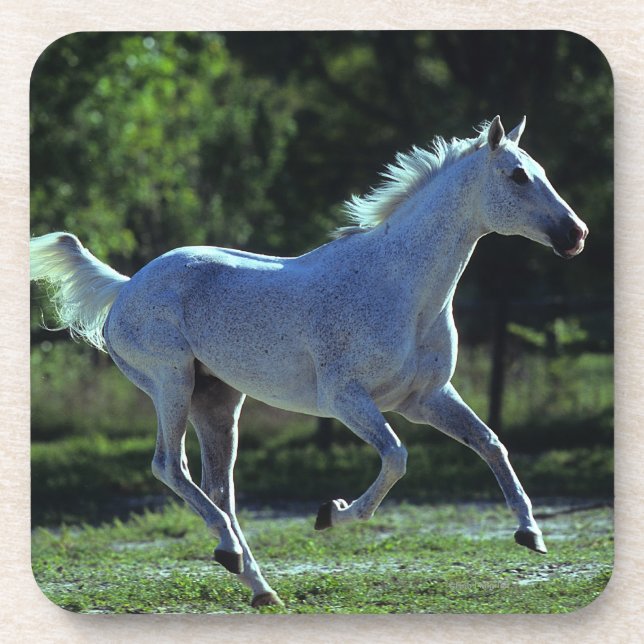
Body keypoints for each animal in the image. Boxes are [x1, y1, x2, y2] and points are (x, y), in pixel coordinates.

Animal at [30, 116, 588, 608]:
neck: (400, 287)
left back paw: (257, 584)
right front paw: (330, 515)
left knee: (219, 488)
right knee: (170, 466)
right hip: (172, 383)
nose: (576, 233)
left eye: (540, 170)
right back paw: (231, 553)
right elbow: (397, 457)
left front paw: (531, 534)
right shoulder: (346, 399)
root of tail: (125, 288)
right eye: (517, 175)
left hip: (218, 402)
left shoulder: (426, 398)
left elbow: (491, 444)